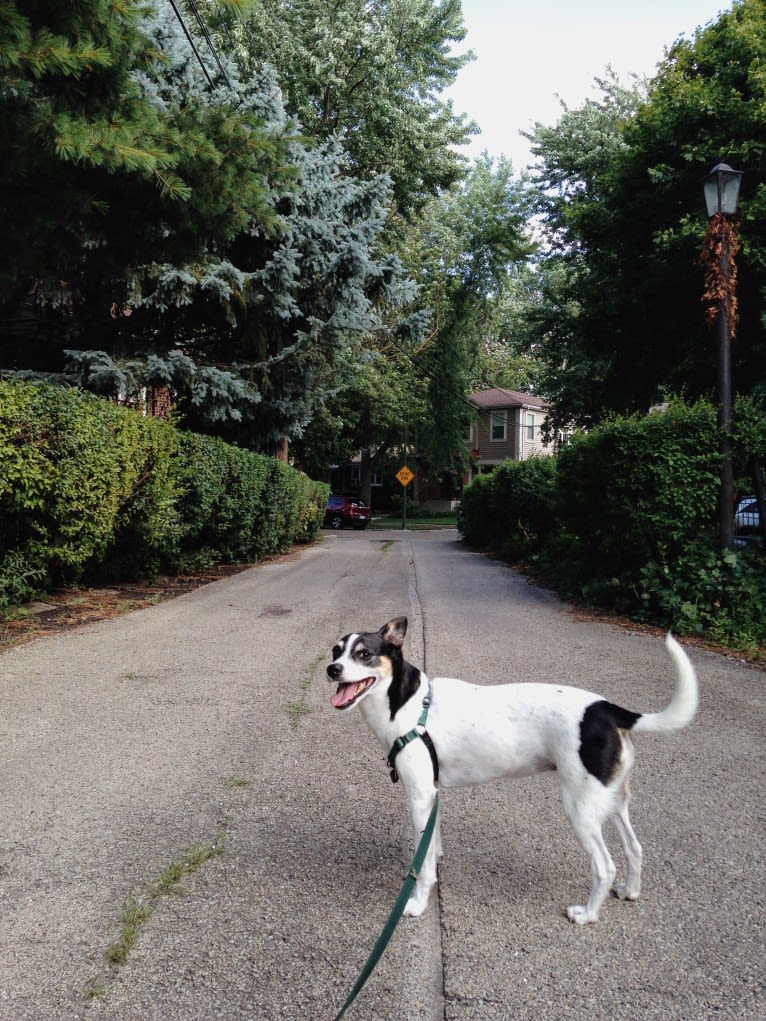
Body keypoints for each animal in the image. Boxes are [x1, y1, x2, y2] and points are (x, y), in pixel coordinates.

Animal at [326, 612, 698, 927]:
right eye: (336, 651)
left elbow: (422, 864)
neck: (406, 703)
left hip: (581, 810)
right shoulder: (432, 796)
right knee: (635, 848)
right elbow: (432, 847)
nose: (332, 669)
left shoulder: (419, 797)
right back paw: (631, 890)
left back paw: (587, 915)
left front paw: (416, 903)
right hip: (613, 802)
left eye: (364, 654)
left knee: (605, 867)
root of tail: (606, 709)